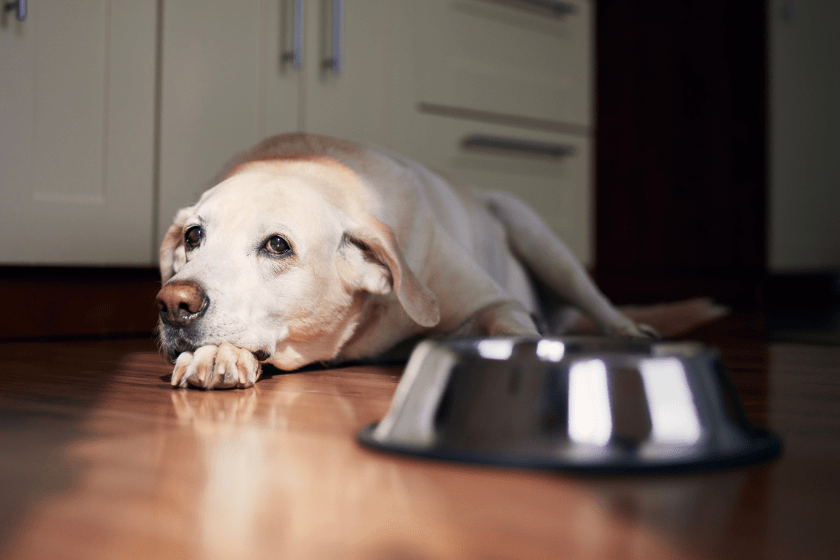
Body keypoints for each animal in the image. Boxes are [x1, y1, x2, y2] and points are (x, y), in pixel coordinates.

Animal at [154, 136, 660, 390]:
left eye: (278, 245)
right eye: (193, 236)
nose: (174, 303)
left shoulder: (492, 301)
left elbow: (512, 327)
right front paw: (217, 354)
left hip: (533, 230)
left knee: (595, 298)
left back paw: (629, 330)